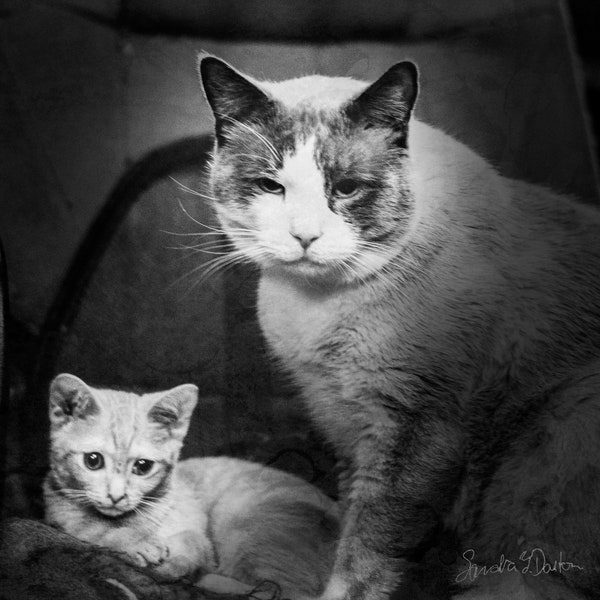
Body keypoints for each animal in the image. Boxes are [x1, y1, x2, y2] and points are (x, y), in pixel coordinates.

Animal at [44, 372, 340, 596]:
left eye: (143, 467)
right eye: (92, 461)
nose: (116, 496)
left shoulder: (199, 537)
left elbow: (191, 548)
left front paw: (174, 563)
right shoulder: (59, 512)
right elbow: (91, 528)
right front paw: (136, 543)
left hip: (243, 521)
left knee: (283, 591)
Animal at [198, 57, 600, 600]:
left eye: (347, 188)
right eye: (270, 187)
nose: (305, 237)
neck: (316, 306)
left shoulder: (415, 429)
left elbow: (366, 552)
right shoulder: (342, 423)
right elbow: (349, 523)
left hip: (565, 424)